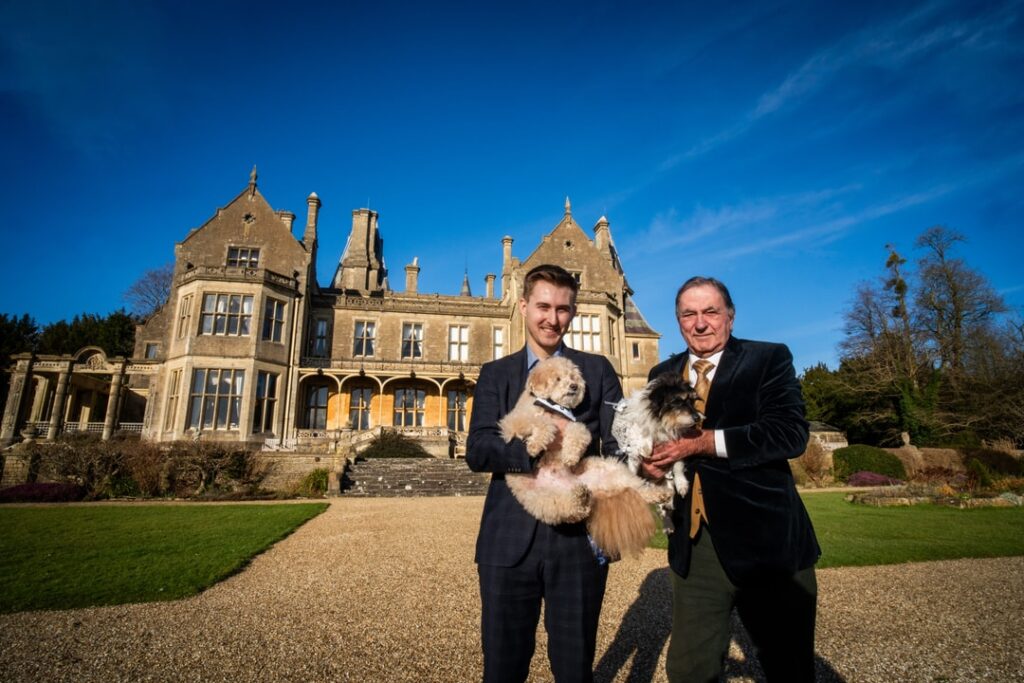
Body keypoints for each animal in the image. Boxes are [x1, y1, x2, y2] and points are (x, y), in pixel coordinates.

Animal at [497, 356, 671, 557]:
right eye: (558, 378)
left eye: (573, 376)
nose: (574, 386)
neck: (552, 406)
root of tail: (595, 489)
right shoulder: (512, 422)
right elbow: (541, 422)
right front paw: (536, 444)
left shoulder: (573, 424)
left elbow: (577, 432)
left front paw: (570, 455)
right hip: (542, 499)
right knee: (571, 511)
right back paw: (580, 497)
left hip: (611, 469)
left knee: (637, 488)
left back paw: (658, 494)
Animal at [606, 370, 704, 532]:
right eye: (678, 401)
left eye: (692, 401)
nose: (697, 418)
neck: (662, 422)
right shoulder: (634, 438)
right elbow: (642, 431)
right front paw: (646, 446)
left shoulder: (676, 448)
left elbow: (678, 466)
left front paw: (682, 484)